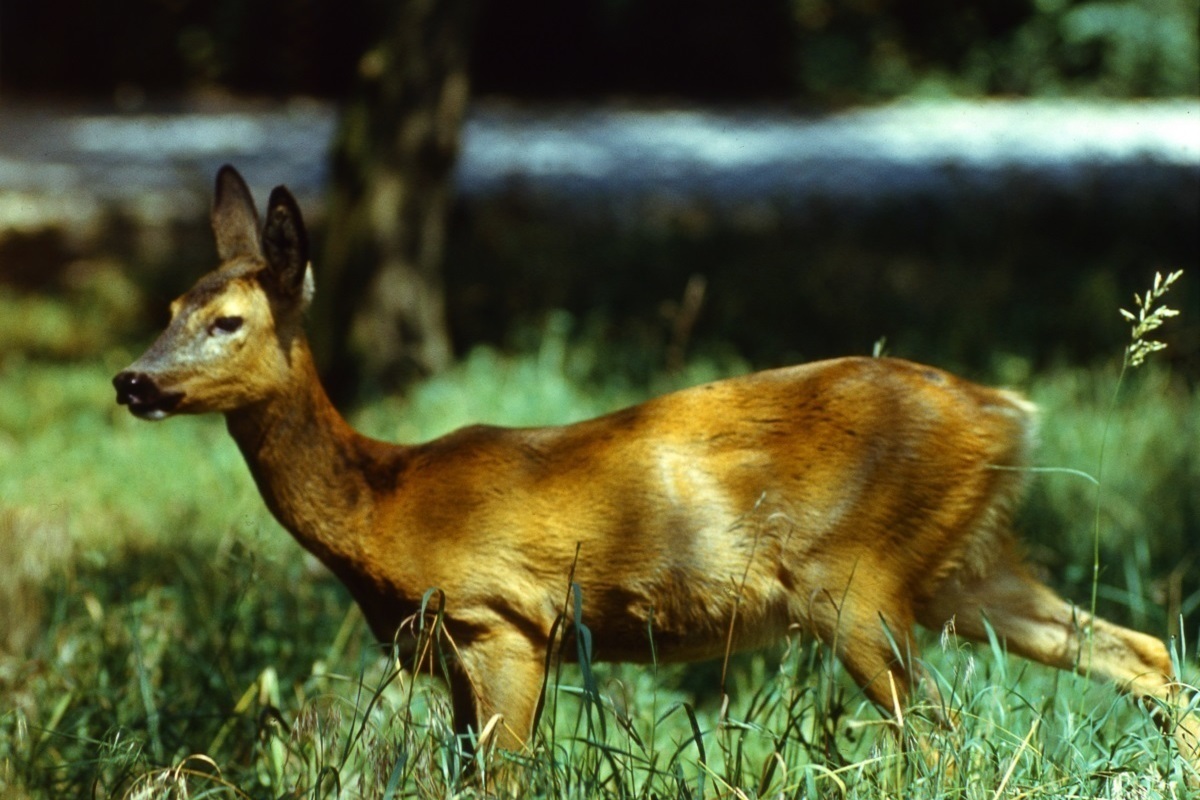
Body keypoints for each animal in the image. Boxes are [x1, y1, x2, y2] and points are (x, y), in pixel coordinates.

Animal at [112, 167, 1200, 777]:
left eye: (228, 321)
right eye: (168, 305)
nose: (132, 379)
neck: (383, 502)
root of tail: (1009, 414)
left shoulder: (504, 621)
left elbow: (501, 779)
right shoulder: (455, 651)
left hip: (858, 579)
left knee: (939, 728)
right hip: (961, 567)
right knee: (1137, 650)